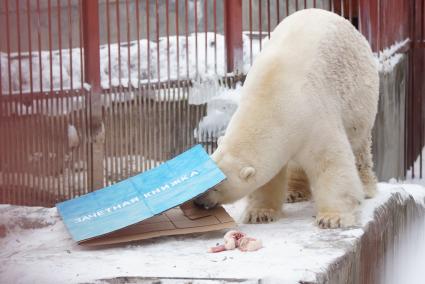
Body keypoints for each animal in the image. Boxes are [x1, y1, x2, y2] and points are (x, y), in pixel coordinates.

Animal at [195, 8, 378, 229]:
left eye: (216, 187)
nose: (197, 201)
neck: (273, 99)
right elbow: (270, 176)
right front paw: (260, 213)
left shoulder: (315, 115)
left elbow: (330, 162)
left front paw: (332, 218)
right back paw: (294, 192)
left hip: (361, 100)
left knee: (360, 146)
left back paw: (366, 188)